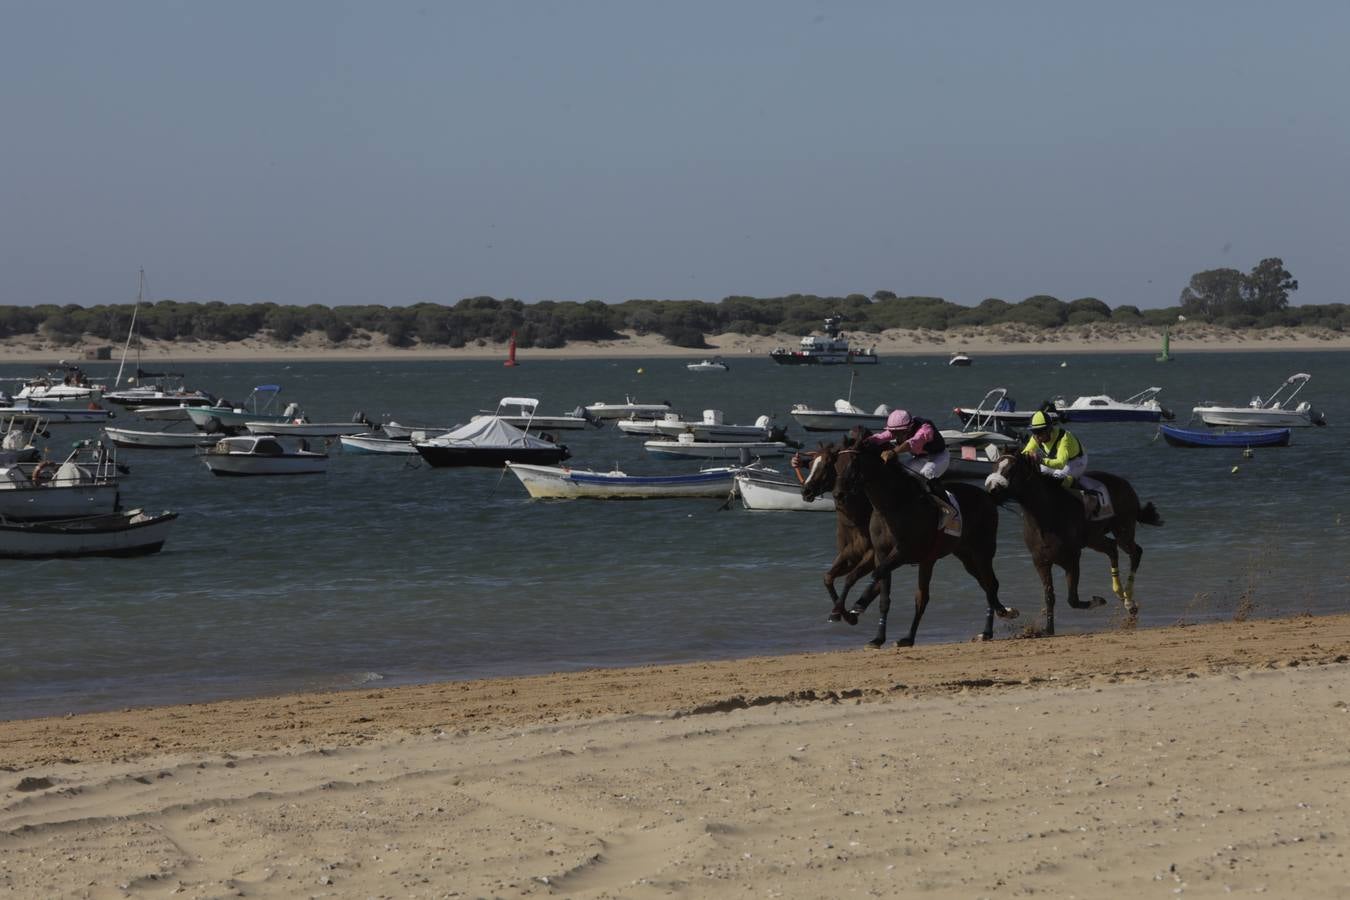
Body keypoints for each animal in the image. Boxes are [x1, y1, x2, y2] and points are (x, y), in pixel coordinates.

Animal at [826, 434, 1015, 647]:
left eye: (852, 462)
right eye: (835, 464)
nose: (838, 494)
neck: (892, 505)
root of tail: (989, 497)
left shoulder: (903, 552)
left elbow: (876, 574)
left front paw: (857, 605)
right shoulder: (882, 553)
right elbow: (883, 597)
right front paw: (876, 637)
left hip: (982, 550)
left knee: (989, 584)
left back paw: (987, 631)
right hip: (962, 555)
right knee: (973, 586)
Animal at [982, 447, 1161, 634]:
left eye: (1011, 469)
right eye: (994, 466)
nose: (991, 490)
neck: (1045, 514)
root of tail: (1125, 483)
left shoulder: (1072, 558)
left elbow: (1072, 599)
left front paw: (1097, 601)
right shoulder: (1040, 561)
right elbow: (1049, 596)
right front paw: (1048, 629)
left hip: (1123, 530)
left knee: (1135, 552)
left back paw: (1129, 602)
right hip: (1094, 538)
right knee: (1112, 548)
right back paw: (1120, 592)